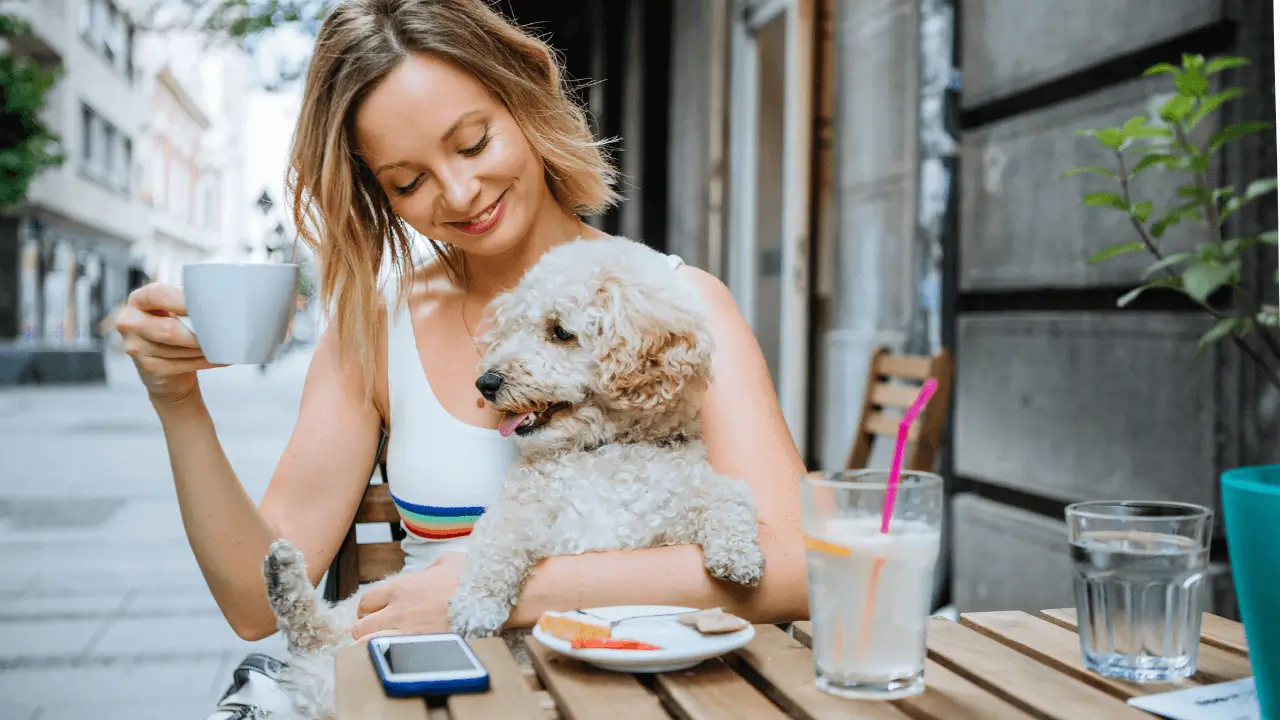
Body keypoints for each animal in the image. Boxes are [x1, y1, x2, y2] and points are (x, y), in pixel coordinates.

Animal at [256, 234, 762, 712]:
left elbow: (729, 495)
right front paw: (476, 605)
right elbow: (496, 546)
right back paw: (283, 578)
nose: (487, 382)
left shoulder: (673, 509)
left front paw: (739, 556)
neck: (602, 451)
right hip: (365, 606)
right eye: (513, 328)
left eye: (560, 332)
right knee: (315, 629)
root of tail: (319, 680)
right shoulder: (522, 511)